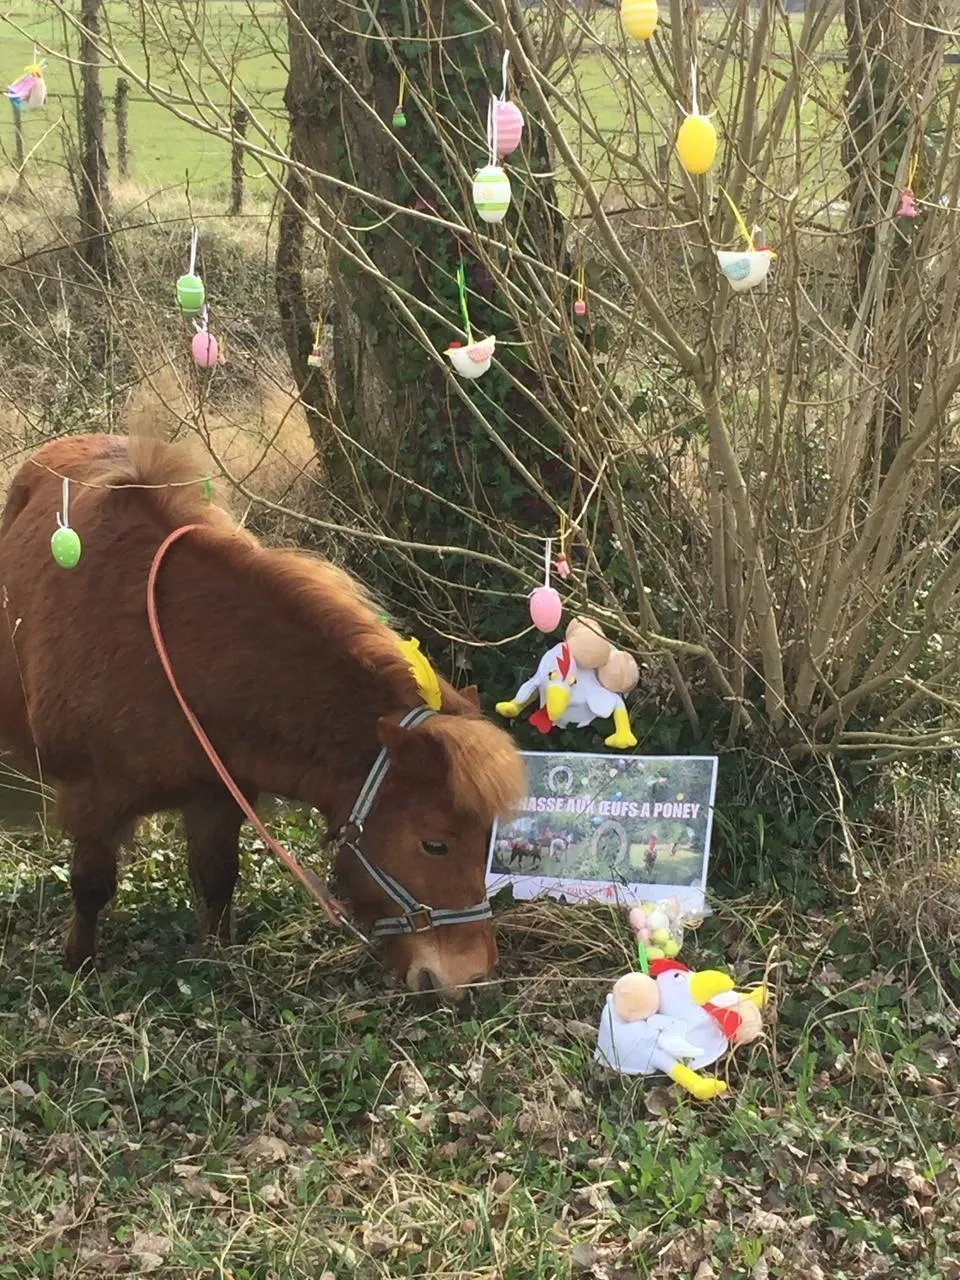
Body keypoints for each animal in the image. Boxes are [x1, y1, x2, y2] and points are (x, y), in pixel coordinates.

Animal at [0, 434, 526, 998]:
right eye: (435, 844)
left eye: (487, 839)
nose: (473, 980)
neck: (174, 652)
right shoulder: (92, 800)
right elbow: (91, 885)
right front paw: (78, 964)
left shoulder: (218, 795)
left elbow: (217, 876)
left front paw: (214, 953)